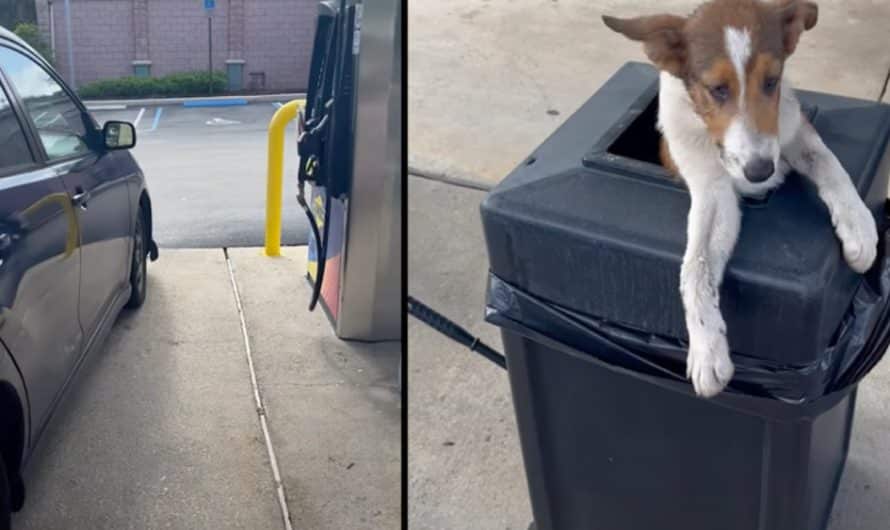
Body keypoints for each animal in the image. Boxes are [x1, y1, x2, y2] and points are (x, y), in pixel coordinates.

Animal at [604, 0, 876, 396]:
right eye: (717, 89)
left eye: (771, 81)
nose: (761, 172)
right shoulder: (712, 191)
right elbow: (696, 267)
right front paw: (707, 348)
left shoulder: (793, 129)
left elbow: (831, 164)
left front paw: (859, 225)